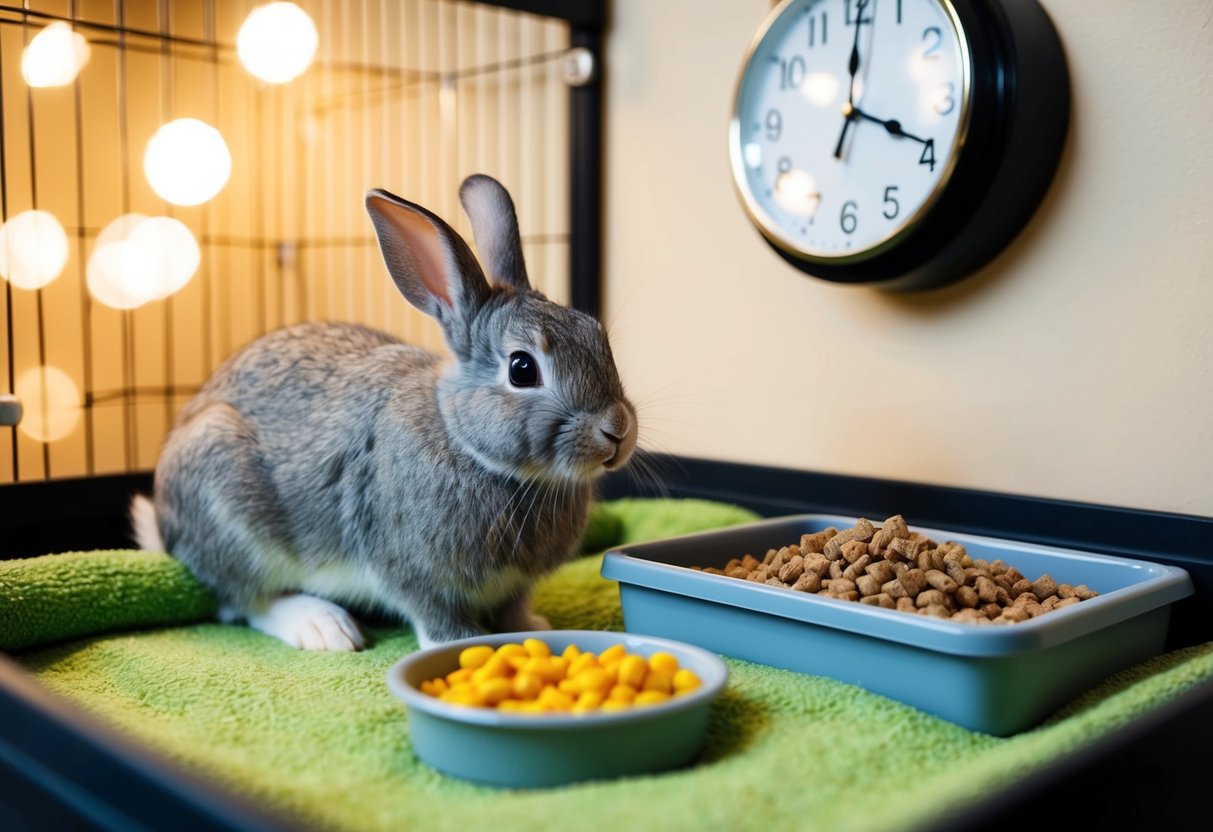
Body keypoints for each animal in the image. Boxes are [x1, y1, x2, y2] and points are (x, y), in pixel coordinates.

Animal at [130, 174, 637, 651]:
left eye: (596, 334)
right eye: (522, 368)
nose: (617, 431)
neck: (466, 442)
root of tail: (167, 531)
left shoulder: (513, 586)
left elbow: (514, 609)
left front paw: (533, 628)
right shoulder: (411, 568)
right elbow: (435, 614)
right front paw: (463, 641)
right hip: (228, 505)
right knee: (245, 601)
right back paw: (324, 627)